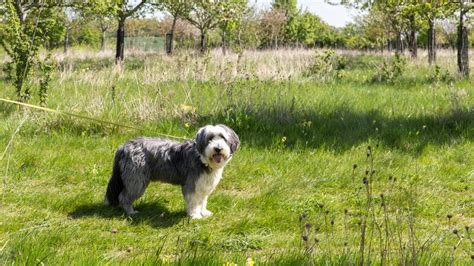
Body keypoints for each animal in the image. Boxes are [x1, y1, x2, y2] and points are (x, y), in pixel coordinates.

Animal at [103, 124, 237, 218]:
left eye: (223, 138)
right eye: (210, 138)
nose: (218, 148)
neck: (202, 160)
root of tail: (124, 146)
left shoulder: (203, 185)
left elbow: (202, 200)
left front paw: (203, 212)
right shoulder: (192, 184)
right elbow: (194, 201)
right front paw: (195, 215)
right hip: (136, 181)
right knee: (123, 196)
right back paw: (131, 212)